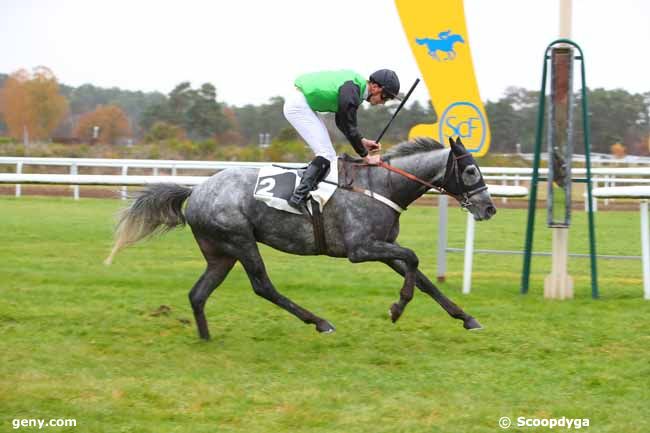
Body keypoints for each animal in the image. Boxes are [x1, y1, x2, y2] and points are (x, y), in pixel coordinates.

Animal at [107, 137, 496, 340]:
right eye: (470, 170)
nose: (489, 208)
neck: (382, 185)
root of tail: (196, 189)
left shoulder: (383, 247)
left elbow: (424, 277)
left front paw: (466, 317)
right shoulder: (361, 249)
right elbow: (414, 258)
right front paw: (397, 307)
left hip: (221, 253)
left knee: (198, 293)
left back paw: (205, 338)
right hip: (240, 241)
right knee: (263, 286)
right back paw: (319, 322)